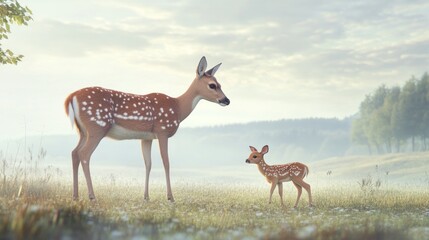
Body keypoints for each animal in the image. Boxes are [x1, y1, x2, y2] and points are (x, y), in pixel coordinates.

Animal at [64, 56, 229, 201]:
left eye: (220, 84)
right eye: (212, 85)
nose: (226, 100)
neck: (178, 107)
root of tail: (71, 97)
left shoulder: (146, 137)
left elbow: (148, 164)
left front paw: (146, 197)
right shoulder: (162, 130)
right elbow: (166, 162)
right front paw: (170, 197)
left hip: (83, 131)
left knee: (74, 153)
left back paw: (75, 196)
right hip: (97, 126)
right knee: (84, 154)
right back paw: (92, 196)